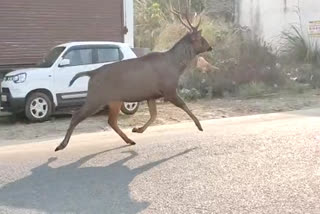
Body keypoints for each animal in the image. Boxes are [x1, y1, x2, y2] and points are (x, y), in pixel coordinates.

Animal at [55, 5, 212, 151]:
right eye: (202, 39)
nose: (210, 47)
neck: (176, 67)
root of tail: (92, 73)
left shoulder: (151, 95)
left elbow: (154, 115)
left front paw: (138, 129)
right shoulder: (169, 89)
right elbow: (184, 105)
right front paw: (199, 126)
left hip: (114, 99)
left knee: (111, 121)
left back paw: (129, 140)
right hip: (96, 97)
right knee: (76, 115)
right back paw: (61, 145)